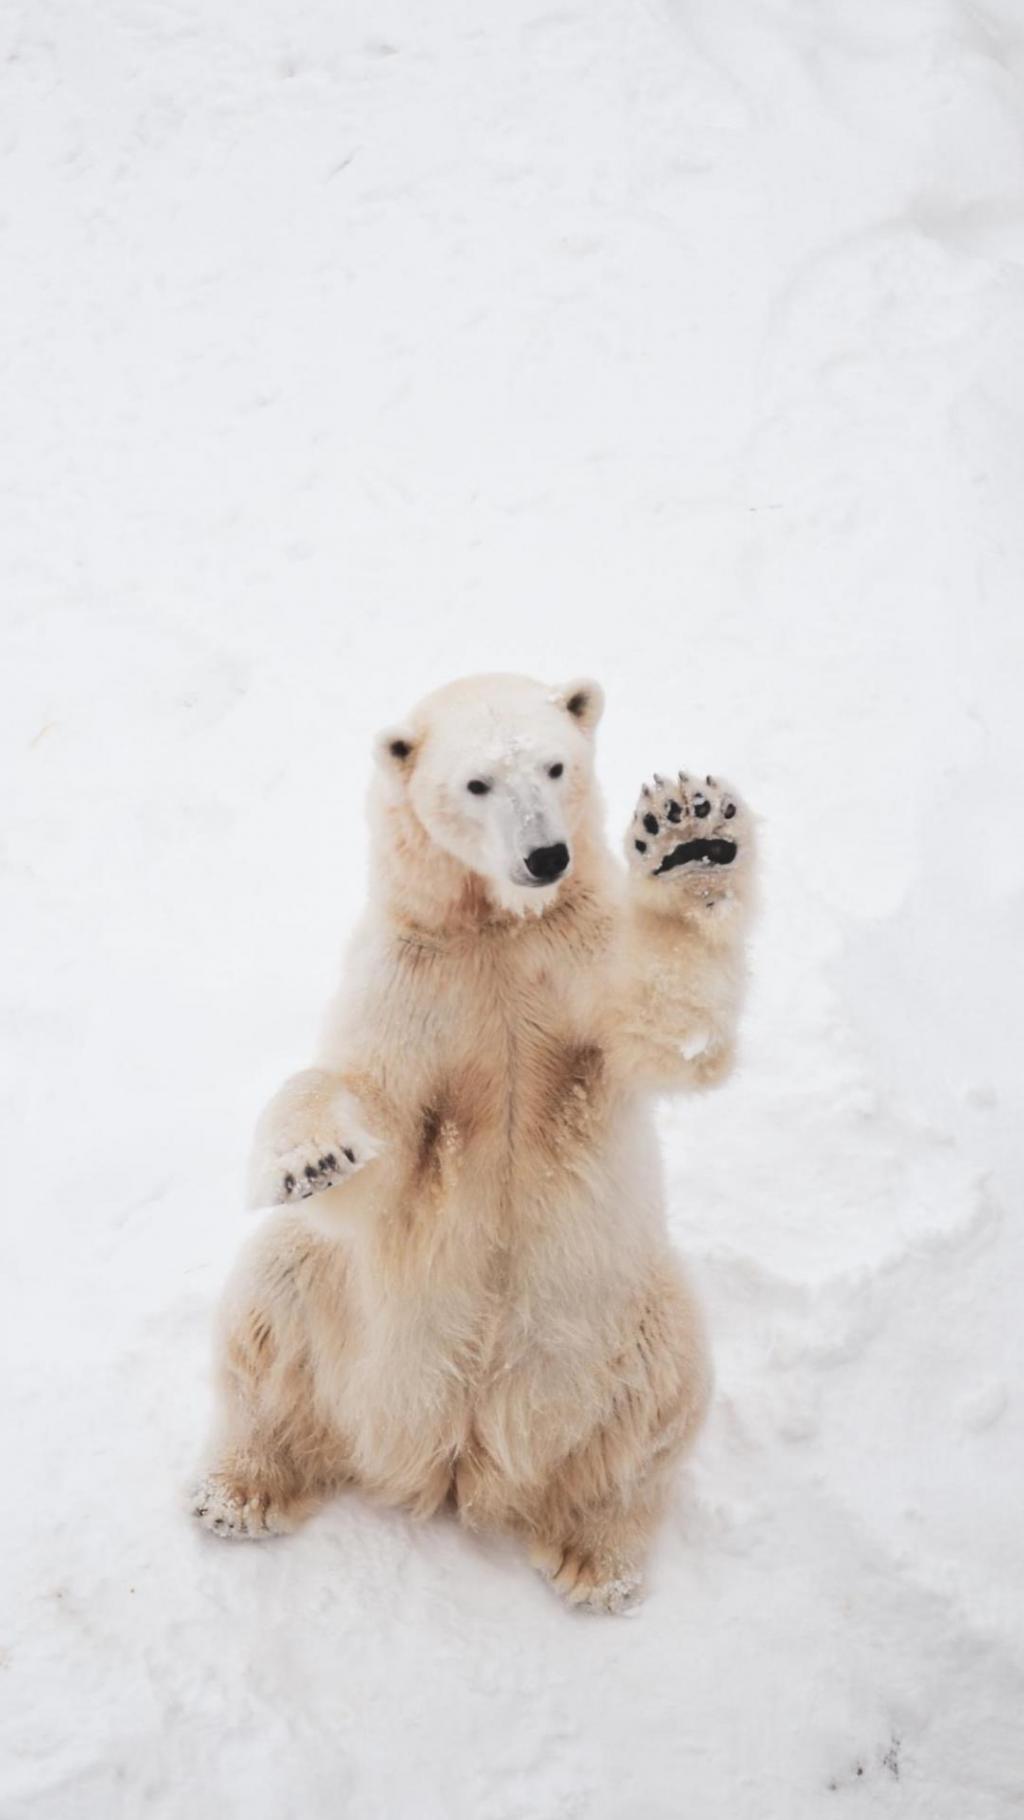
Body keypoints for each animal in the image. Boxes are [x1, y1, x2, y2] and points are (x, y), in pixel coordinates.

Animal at [194, 677, 752, 1616]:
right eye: (477, 783)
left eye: (556, 764)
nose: (547, 857)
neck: (500, 929)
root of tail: (461, 1458)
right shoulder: (413, 975)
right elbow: (370, 1118)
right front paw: (312, 1159)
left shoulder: (579, 956)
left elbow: (668, 1027)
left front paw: (691, 838)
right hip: (351, 1325)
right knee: (274, 1297)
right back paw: (239, 1489)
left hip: (622, 1312)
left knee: (656, 1402)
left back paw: (595, 1559)